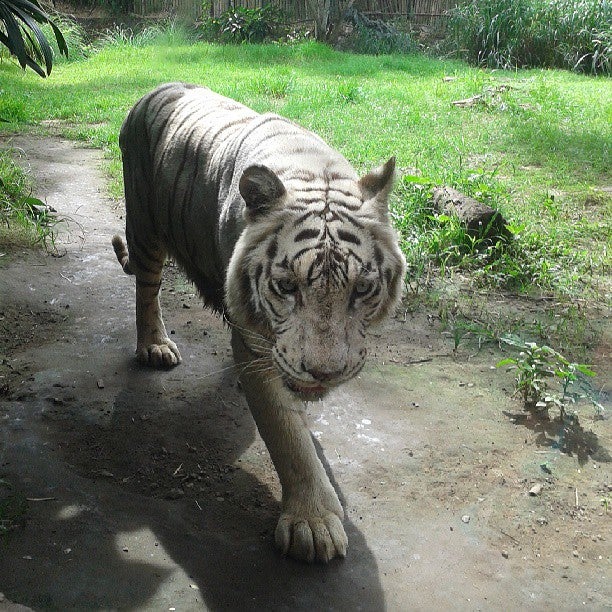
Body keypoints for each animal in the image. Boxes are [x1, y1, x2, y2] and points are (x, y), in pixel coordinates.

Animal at [113, 82, 406, 564]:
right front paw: (314, 524)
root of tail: (155, 90)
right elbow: (287, 436)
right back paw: (154, 345)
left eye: (362, 289)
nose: (324, 372)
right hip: (146, 226)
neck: (312, 170)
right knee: (146, 289)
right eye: (287, 286)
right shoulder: (257, 344)